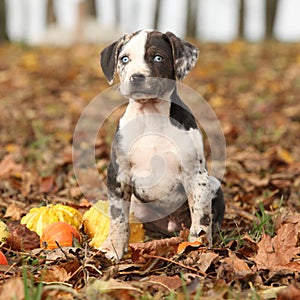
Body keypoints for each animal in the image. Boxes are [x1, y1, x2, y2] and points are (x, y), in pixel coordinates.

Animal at [99, 29, 224, 260]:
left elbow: (201, 219)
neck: (150, 115)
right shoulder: (118, 173)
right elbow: (118, 218)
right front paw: (114, 248)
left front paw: (198, 249)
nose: (136, 77)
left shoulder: (196, 176)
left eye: (158, 58)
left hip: (213, 184)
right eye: (124, 59)